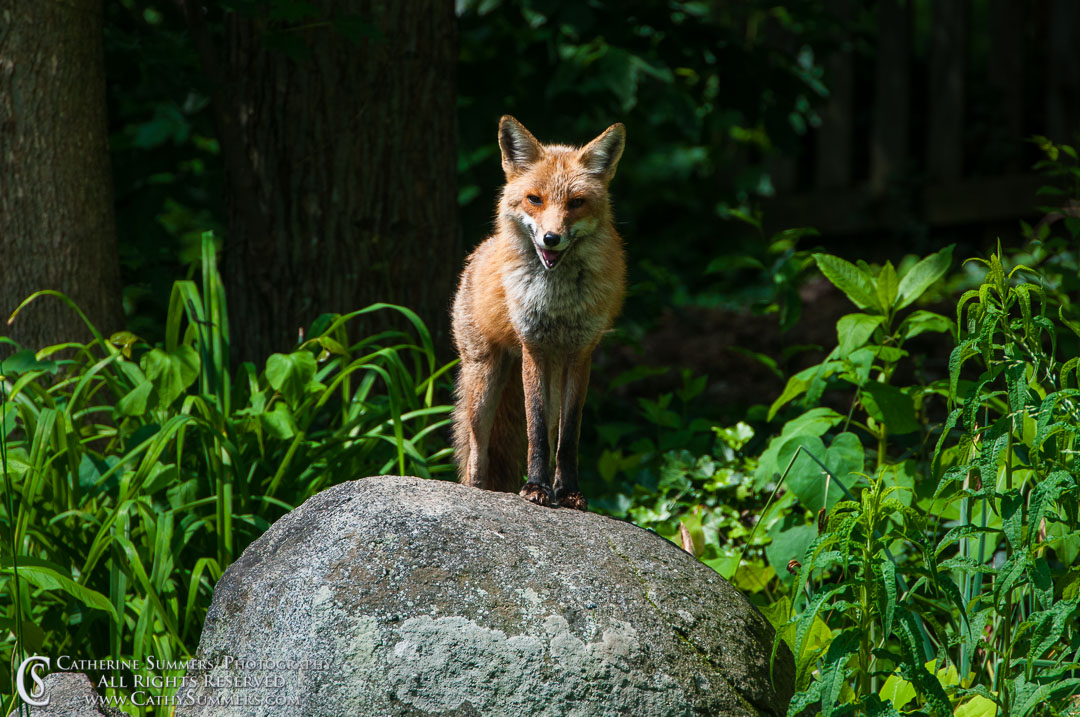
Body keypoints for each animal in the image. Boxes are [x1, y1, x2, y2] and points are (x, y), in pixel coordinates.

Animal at [451, 116, 630, 509]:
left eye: (576, 203)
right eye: (535, 199)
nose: (551, 238)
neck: (558, 302)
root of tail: (478, 252)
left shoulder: (580, 354)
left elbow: (567, 438)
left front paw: (569, 491)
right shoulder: (533, 348)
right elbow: (534, 432)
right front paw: (535, 487)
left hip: (550, 379)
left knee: (549, 431)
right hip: (484, 382)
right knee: (476, 448)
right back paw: (478, 489)